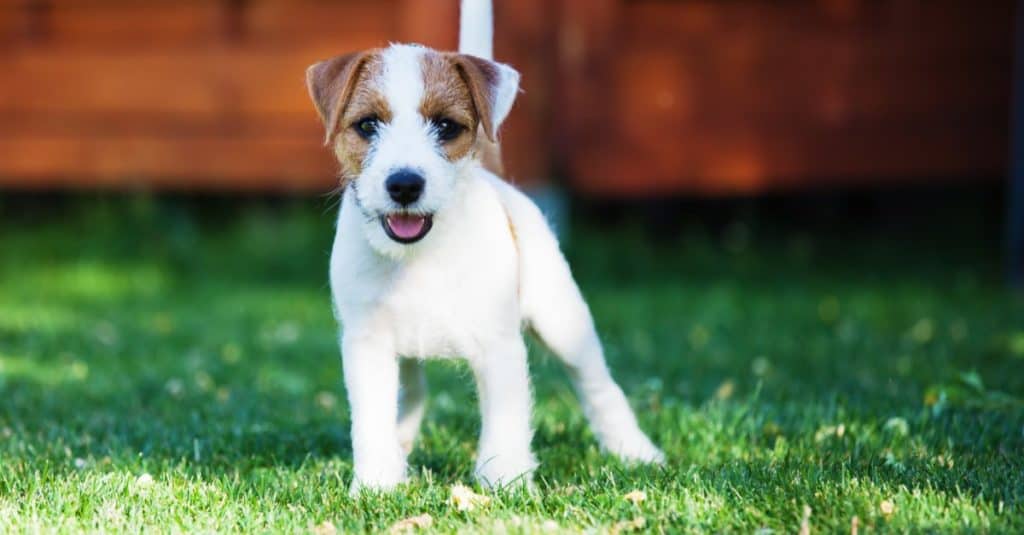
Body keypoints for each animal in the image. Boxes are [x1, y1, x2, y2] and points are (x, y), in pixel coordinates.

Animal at [303, 0, 663, 491]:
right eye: (368, 125)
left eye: (446, 126)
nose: (404, 185)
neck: (422, 257)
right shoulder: (367, 344)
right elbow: (372, 421)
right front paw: (377, 483)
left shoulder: (499, 345)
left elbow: (506, 422)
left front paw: (505, 481)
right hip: (405, 354)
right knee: (412, 391)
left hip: (563, 320)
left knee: (598, 384)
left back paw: (634, 450)